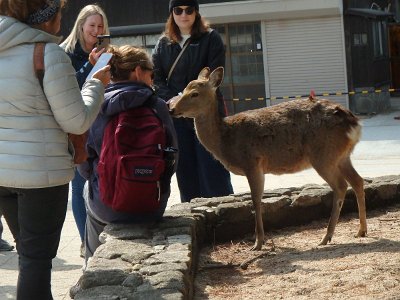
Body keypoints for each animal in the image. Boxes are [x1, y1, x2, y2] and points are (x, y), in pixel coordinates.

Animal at [167, 67, 368, 251]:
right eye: (183, 89)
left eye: (195, 93)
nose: (172, 109)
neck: (226, 141)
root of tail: (354, 124)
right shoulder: (259, 167)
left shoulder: (252, 163)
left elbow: (255, 200)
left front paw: (258, 243)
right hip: (342, 157)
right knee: (357, 181)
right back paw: (361, 231)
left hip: (323, 155)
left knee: (341, 185)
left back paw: (326, 237)